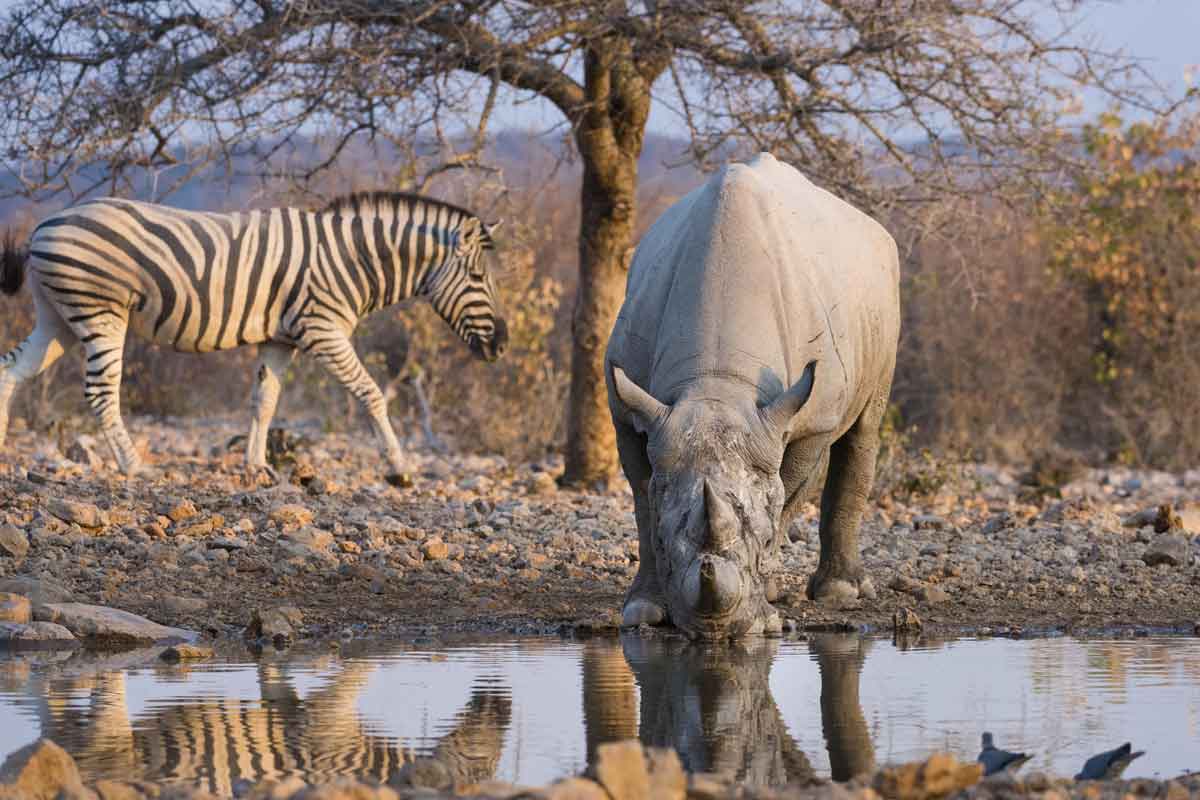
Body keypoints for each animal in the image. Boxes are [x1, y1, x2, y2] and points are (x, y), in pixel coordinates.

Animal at [0, 191, 508, 482]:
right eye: (479, 279)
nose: (501, 345)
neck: (353, 260)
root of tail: (44, 224)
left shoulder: (281, 339)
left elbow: (264, 401)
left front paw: (256, 466)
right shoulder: (322, 330)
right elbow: (371, 393)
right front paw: (400, 468)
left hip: (58, 318)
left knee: (10, 371)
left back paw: (3, 451)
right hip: (99, 311)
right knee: (101, 392)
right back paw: (134, 466)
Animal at [609, 149, 902, 638]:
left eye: (762, 542)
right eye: (668, 543)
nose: (716, 631)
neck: (716, 381)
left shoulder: (806, 419)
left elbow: (786, 496)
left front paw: (765, 603)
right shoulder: (630, 412)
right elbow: (643, 502)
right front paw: (645, 608)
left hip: (885, 288)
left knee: (864, 427)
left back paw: (840, 592)